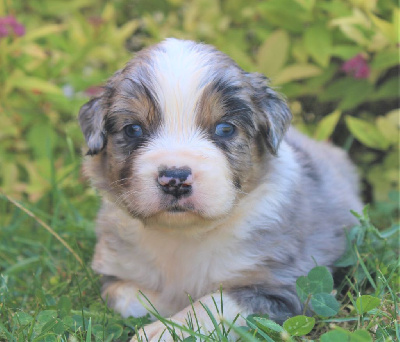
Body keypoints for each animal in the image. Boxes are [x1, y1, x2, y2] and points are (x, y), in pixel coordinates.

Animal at [79, 38, 362, 340]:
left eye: (225, 128)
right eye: (133, 129)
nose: (175, 179)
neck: (184, 236)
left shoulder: (282, 284)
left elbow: (213, 305)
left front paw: (162, 331)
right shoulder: (116, 271)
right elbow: (129, 297)